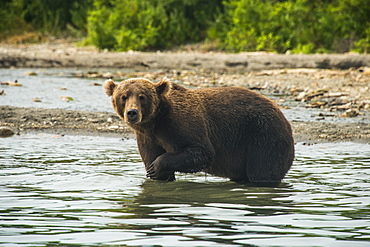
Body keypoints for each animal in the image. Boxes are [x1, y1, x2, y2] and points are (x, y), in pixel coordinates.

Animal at [102, 77, 294, 183]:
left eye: (142, 97)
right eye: (123, 97)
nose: (132, 113)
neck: (156, 122)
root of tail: (283, 117)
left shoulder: (180, 123)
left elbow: (201, 152)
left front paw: (156, 167)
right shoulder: (147, 137)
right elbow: (152, 157)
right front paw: (156, 173)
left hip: (263, 135)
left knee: (263, 169)